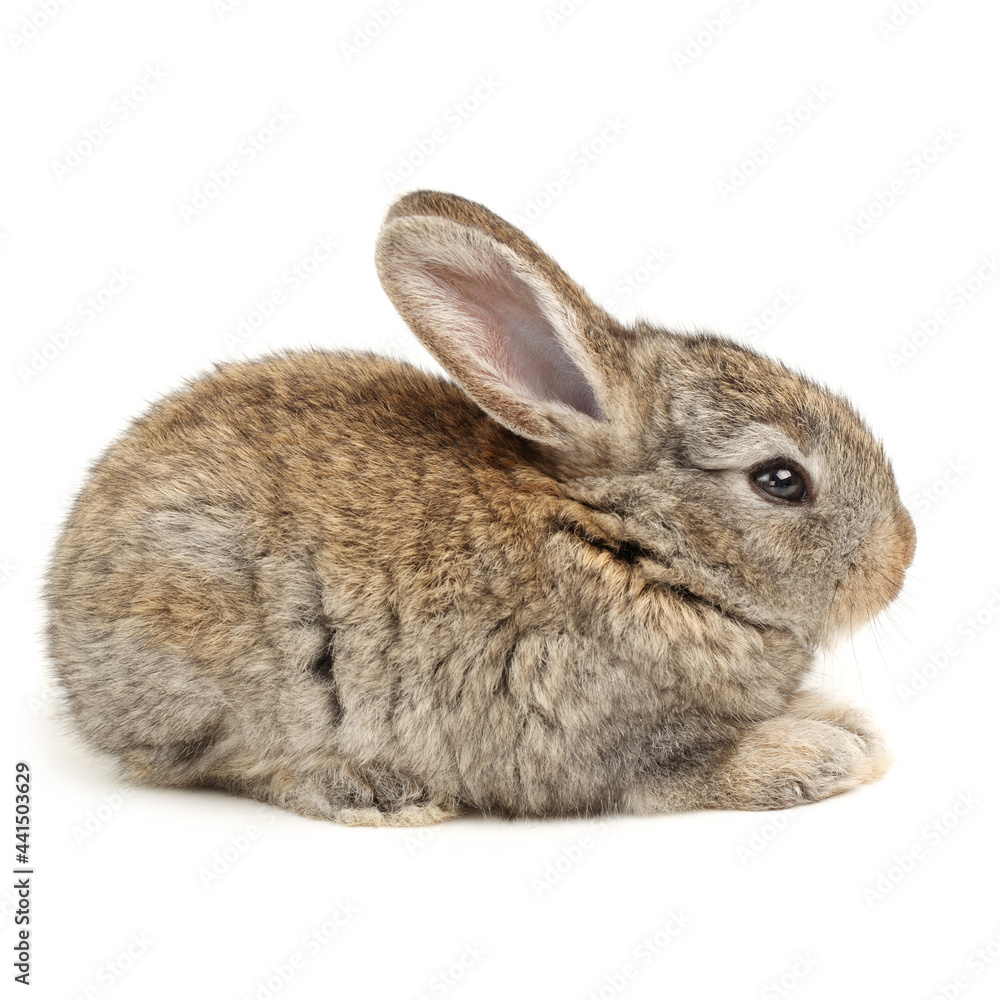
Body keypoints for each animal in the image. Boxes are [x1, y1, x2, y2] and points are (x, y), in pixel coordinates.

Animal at [46, 190, 916, 827]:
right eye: (781, 479)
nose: (901, 559)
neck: (626, 542)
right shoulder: (614, 740)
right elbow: (696, 770)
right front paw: (820, 755)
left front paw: (849, 724)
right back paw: (374, 791)